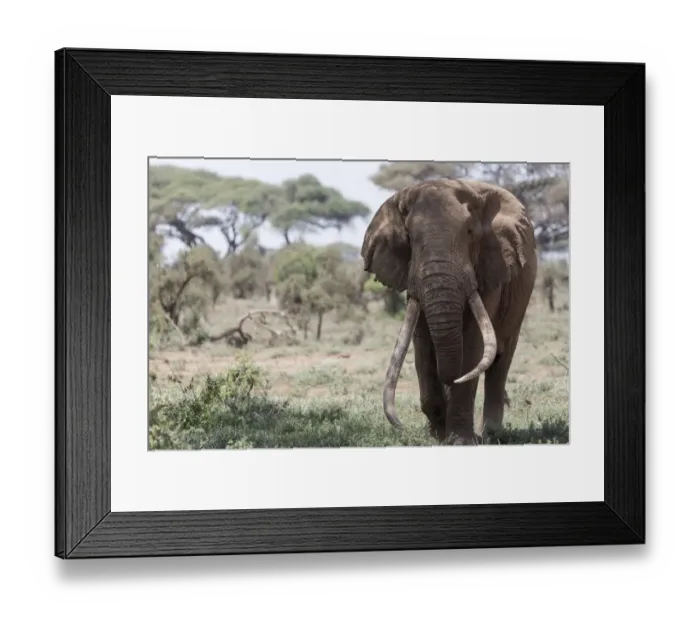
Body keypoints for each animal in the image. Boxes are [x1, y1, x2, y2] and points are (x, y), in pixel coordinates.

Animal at [360, 177, 538, 445]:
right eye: (410, 238)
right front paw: (437, 436)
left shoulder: (489, 267)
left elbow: (473, 344)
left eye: (470, 233)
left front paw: (461, 441)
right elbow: (422, 344)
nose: (401, 426)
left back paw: (492, 434)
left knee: (501, 360)